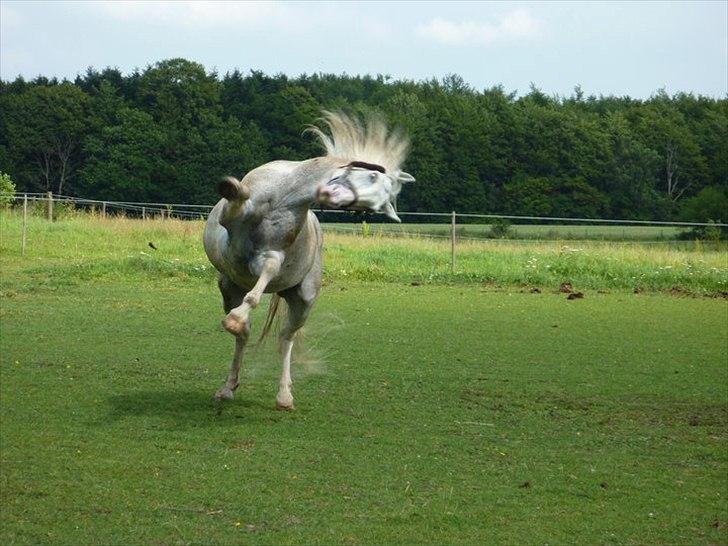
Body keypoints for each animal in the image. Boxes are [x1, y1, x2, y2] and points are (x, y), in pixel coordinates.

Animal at [203, 111, 416, 408]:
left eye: (369, 207)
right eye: (372, 175)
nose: (328, 195)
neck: (285, 197)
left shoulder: (267, 257)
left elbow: (268, 270)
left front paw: (236, 318)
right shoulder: (229, 227)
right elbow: (238, 197)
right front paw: (231, 186)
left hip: (302, 299)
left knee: (284, 338)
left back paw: (283, 394)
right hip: (228, 286)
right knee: (244, 336)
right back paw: (227, 387)